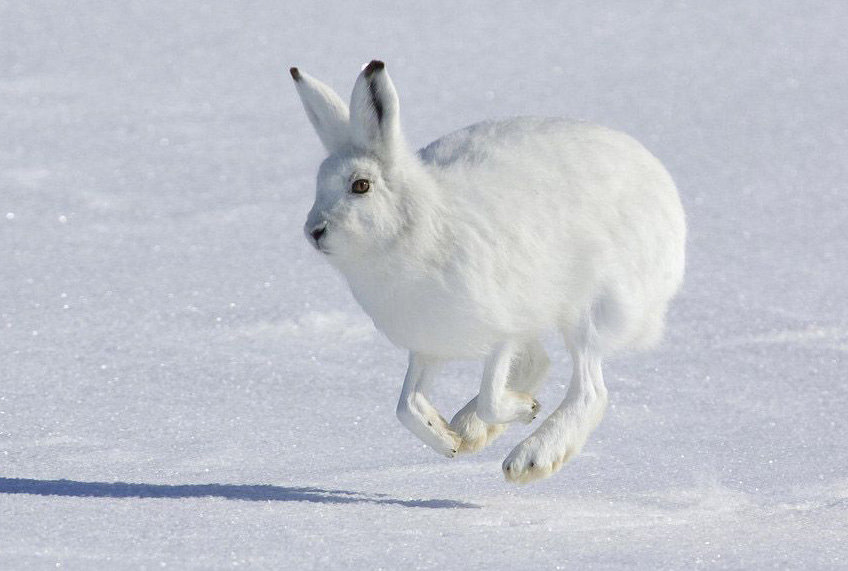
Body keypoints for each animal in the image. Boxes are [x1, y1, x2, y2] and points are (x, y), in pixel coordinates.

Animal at [290, 60, 685, 483]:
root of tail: (665, 194)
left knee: (589, 390)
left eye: (361, 186)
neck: (416, 227)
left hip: (588, 308)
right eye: (319, 185)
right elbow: (406, 406)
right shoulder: (427, 345)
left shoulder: (503, 326)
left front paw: (524, 410)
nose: (314, 231)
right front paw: (447, 440)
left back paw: (531, 458)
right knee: (540, 364)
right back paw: (468, 430)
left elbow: (492, 397)